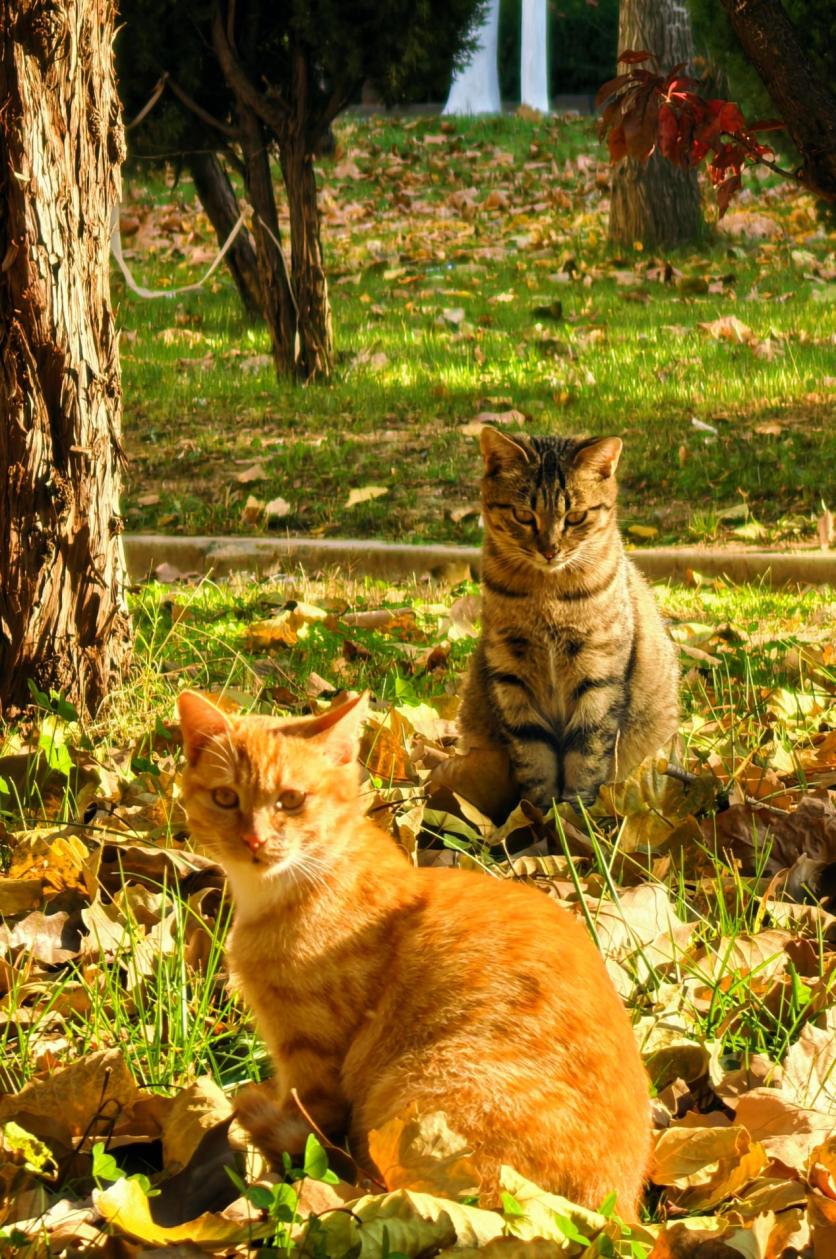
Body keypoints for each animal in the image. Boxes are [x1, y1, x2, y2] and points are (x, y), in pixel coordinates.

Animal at [177, 688, 651, 1216]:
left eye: (291, 800)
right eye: (225, 798)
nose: (255, 839)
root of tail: (612, 1210)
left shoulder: (309, 1057)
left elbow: (311, 1125)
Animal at [433, 427, 679, 822]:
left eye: (576, 517)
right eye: (522, 514)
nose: (549, 550)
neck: (546, 594)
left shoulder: (599, 672)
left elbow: (587, 750)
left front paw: (573, 815)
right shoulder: (511, 672)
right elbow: (533, 755)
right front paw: (538, 815)